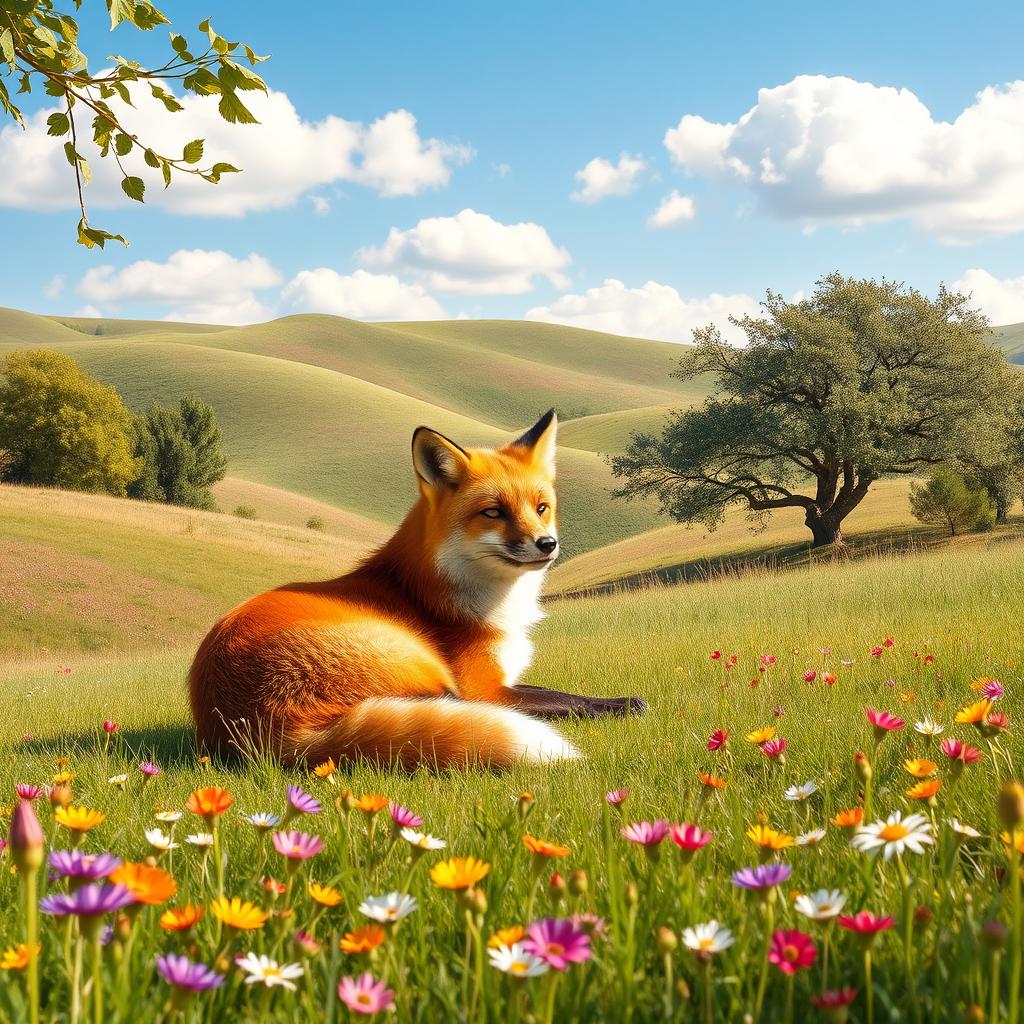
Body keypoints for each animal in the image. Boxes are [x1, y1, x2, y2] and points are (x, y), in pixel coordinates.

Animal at [189, 409, 647, 770]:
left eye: (541, 508)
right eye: (494, 513)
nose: (547, 545)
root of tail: (265, 733)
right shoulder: (485, 687)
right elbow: (566, 697)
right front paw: (621, 704)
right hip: (427, 670)